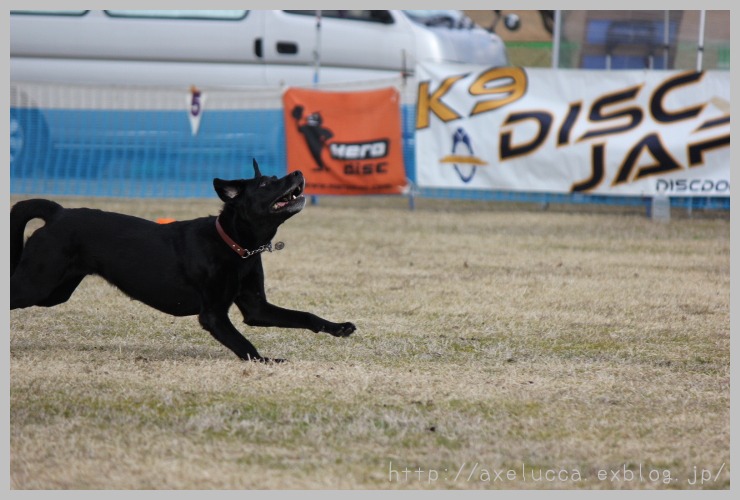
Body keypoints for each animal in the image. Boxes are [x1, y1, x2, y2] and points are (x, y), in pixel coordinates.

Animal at [10, 161, 356, 364]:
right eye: (265, 184)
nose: (298, 172)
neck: (235, 247)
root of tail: (57, 212)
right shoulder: (213, 315)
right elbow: (244, 345)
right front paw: (268, 362)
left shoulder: (256, 308)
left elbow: (304, 316)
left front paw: (340, 328)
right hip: (36, 284)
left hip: (55, 292)